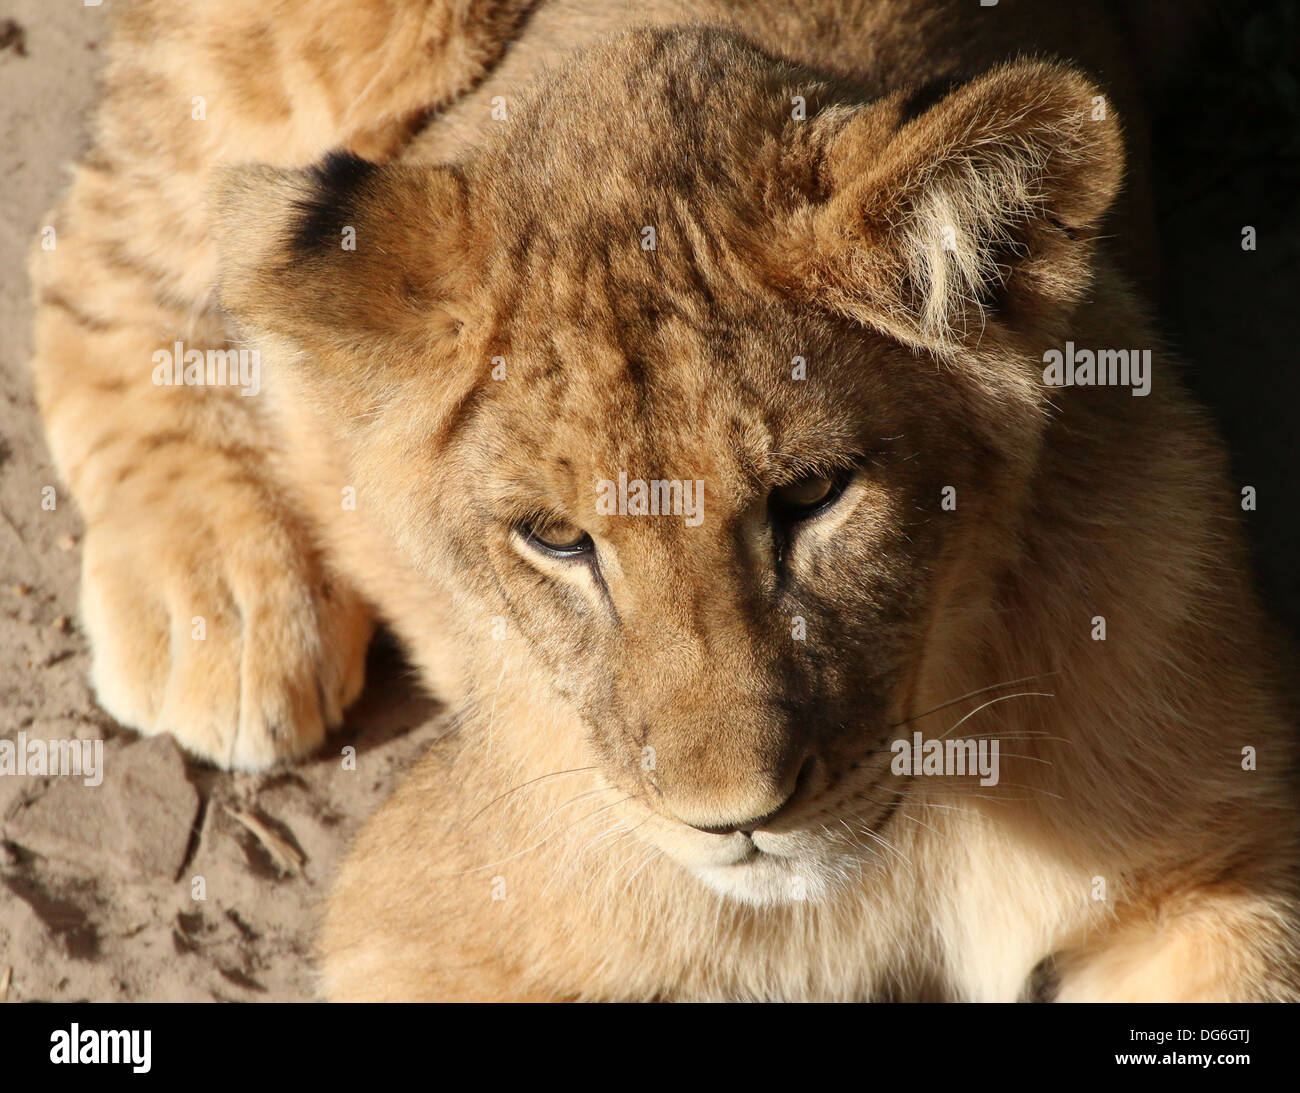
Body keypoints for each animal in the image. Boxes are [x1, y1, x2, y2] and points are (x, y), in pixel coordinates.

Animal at [29, 0, 1299, 1001]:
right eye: (555, 538)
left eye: (813, 495)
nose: (735, 819)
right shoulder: (414, 922)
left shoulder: (1223, 869)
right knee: (99, 242)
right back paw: (218, 598)